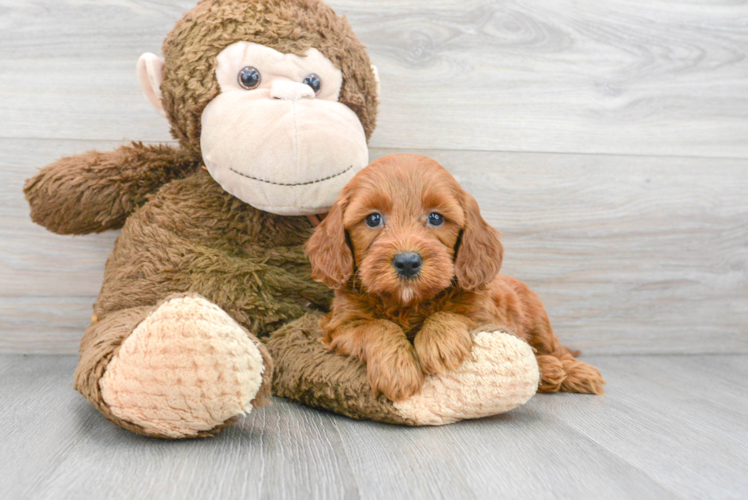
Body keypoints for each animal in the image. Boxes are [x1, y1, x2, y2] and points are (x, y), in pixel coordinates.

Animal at [306, 153, 604, 402]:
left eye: (436, 218)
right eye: (373, 219)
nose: (407, 262)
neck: (408, 304)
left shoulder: (487, 318)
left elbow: (450, 314)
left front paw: (440, 343)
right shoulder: (341, 326)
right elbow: (377, 326)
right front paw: (398, 371)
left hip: (540, 322)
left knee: (555, 350)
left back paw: (575, 372)